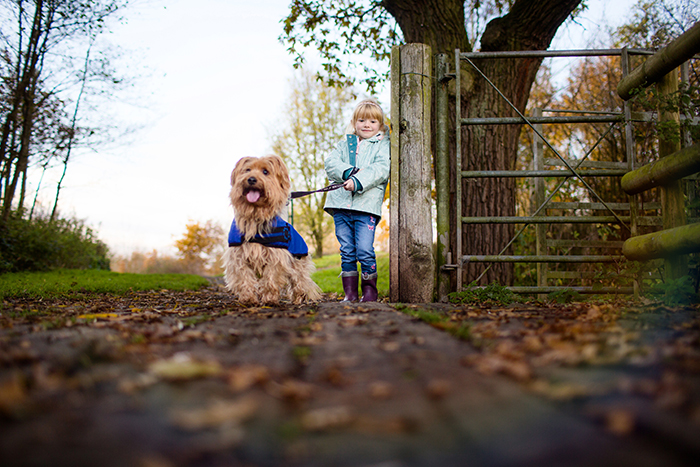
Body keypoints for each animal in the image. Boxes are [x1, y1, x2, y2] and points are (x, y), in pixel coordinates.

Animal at [221, 155, 322, 306]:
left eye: (265, 172)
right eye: (247, 170)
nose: (251, 179)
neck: (255, 213)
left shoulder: (275, 256)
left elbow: (270, 277)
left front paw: (269, 299)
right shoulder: (238, 255)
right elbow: (244, 276)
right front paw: (248, 298)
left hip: (298, 264)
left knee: (300, 281)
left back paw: (299, 298)